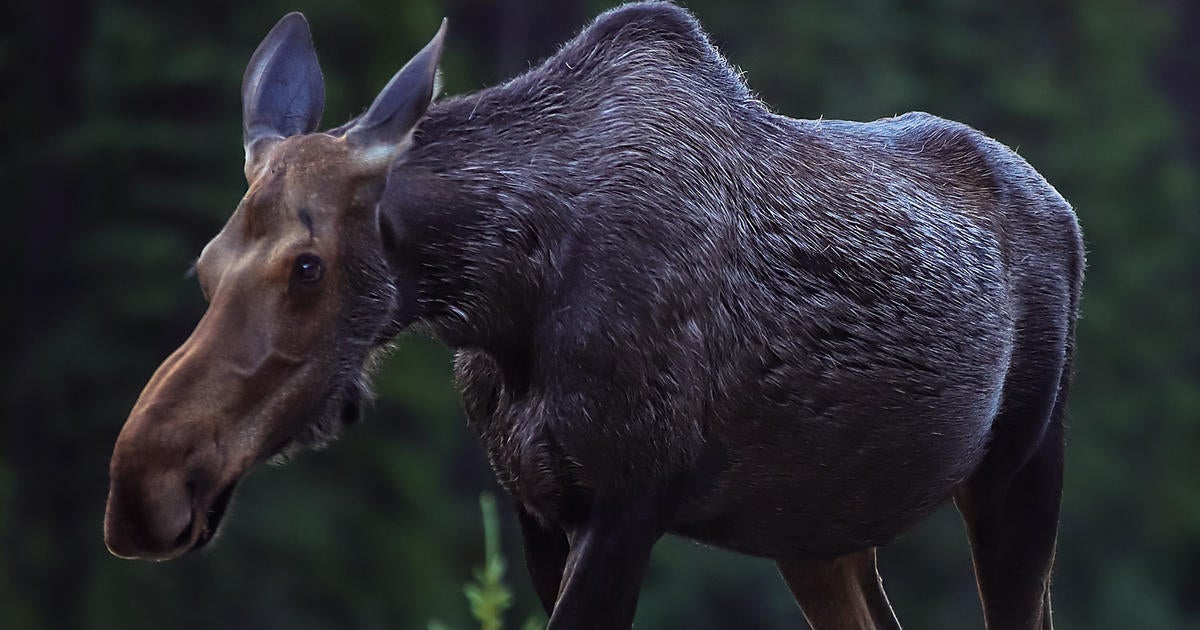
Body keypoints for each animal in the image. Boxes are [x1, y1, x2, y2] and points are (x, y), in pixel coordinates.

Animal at [105, 2, 1089, 624]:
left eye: (307, 266)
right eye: (205, 266)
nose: (141, 487)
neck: (506, 296)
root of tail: (1065, 211)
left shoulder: (627, 502)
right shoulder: (543, 511)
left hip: (1021, 466)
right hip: (820, 529)